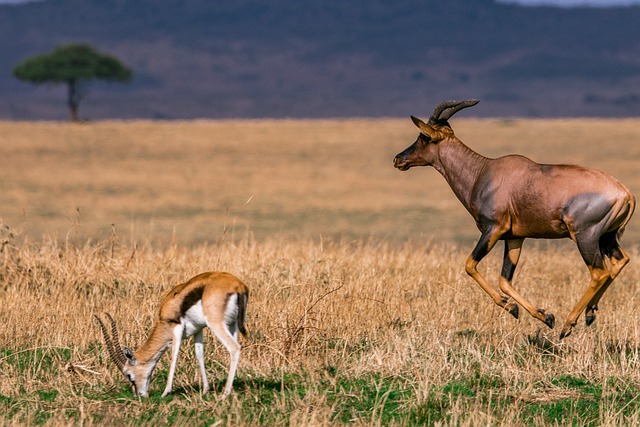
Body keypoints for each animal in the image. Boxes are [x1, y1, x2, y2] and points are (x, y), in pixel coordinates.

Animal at [96, 272, 249, 400]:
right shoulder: (198, 330)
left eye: (129, 375)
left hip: (216, 324)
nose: (139, 395)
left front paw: (165, 392)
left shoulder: (176, 329)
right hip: (233, 325)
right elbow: (199, 354)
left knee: (234, 348)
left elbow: (173, 355)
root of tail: (238, 285)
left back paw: (225, 394)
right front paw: (205, 390)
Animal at [396, 100, 636, 342]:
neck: (484, 171)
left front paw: (513, 308)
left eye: (423, 137)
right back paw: (589, 313)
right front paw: (542, 315)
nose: (398, 159)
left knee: (599, 273)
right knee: (619, 261)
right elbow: (505, 280)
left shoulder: (493, 229)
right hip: (606, 238)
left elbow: (470, 265)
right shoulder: (514, 238)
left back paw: (568, 325)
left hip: (585, 237)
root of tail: (625, 193)